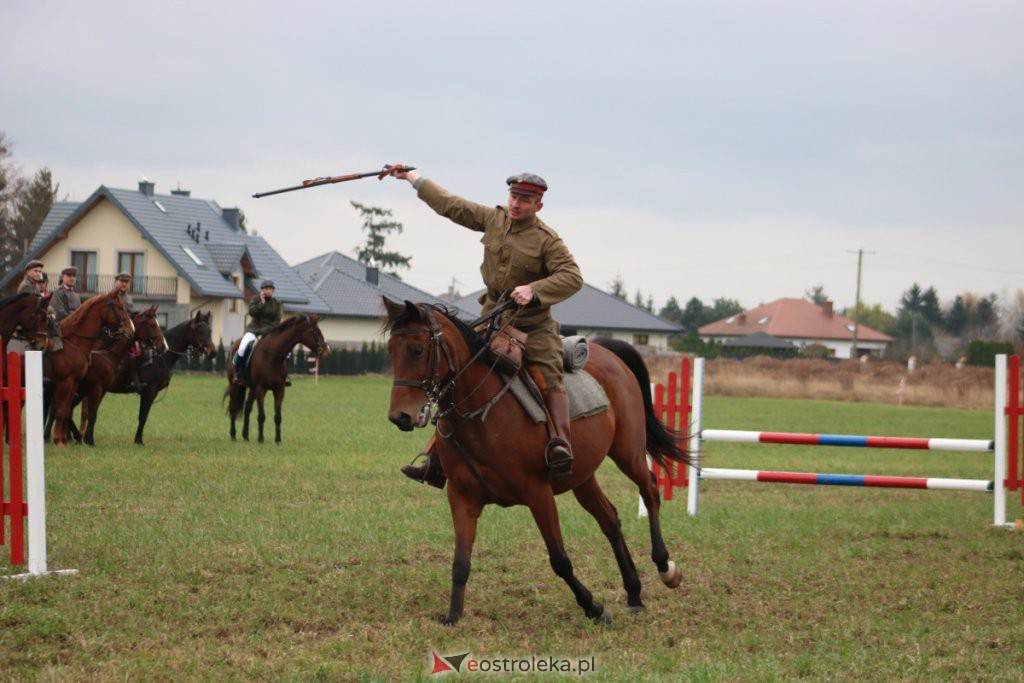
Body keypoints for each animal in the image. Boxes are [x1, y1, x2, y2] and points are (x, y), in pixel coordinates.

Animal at [48, 290, 134, 446]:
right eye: (120, 308)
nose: (131, 330)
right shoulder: (78, 385)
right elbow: (69, 411)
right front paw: (69, 440)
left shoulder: (79, 385)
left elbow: (69, 411)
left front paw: (70, 439)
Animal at [226, 313, 329, 444]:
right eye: (315, 331)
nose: (327, 352)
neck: (273, 357)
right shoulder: (261, 389)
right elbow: (261, 416)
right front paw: (261, 439)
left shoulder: (279, 390)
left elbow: (278, 417)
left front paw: (278, 440)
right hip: (235, 385)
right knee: (233, 408)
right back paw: (233, 435)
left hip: (252, 389)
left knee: (247, 408)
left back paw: (245, 435)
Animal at [382, 296, 688, 626]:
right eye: (390, 349)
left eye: (417, 349)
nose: (400, 417)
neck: (482, 413)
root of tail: (607, 352)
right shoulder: (462, 498)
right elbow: (460, 562)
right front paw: (452, 617)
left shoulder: (539, 494)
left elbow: (560, 560)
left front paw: (593, 607)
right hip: (582, 477)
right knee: (609, 519)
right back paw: (634, 593)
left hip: (628, 452)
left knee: (650, 491)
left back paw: (665, 567)